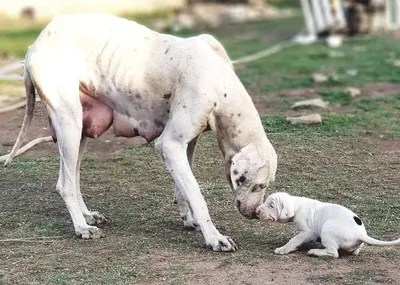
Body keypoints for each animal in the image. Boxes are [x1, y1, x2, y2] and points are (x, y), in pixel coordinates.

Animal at [4, 13, 278, 251]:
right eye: (258, 186)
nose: (256, 214)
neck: (220, 83)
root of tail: (35, 43)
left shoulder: (187, 143)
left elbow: (183, 189)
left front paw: (188, 219)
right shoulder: (170, 144)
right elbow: (197, 196)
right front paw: (214, 238)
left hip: (80, 130)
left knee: (73, 176)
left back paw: (87, 215)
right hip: (68, 122)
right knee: (65, 183)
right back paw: (81, 227)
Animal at [256, 191, 400, 258]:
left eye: (271, 205)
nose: (257, 211)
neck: (297, 205)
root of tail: (360, 234)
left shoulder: (308, 232)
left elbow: (294, 239)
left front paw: (283, 249)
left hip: (327, 229)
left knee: (333, 253)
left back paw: (315, 252)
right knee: (354, 251)